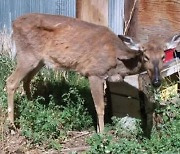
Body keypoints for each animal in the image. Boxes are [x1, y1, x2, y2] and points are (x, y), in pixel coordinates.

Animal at [5, 13, 180, 133]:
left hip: (39, 60)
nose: (156, 81)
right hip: (27, 55)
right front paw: (101, 133)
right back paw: (13, 125)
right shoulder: (94, 72)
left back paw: (31, 106)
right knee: (11, 81)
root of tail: (13, 23)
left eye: (163, 56)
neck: (117, 60)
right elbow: (100, 106)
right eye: (145, 56)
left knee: (26, 80)